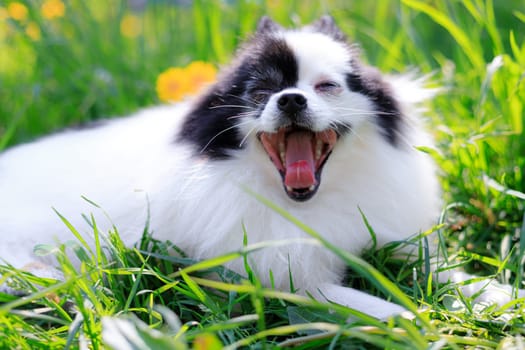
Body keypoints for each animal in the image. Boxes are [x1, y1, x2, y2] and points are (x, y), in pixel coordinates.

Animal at [0, 15, 516, 318]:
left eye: (327, 86)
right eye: (261, 92)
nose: (290, 99)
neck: (310, 203)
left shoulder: (389, 233)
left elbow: (440, 268)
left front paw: (495, 295)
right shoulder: (289, 281)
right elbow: (377, 308)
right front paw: (421, 324)